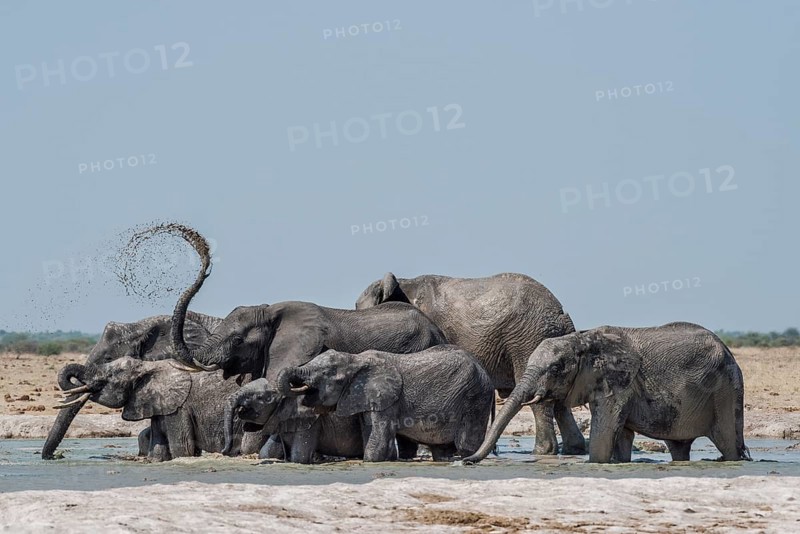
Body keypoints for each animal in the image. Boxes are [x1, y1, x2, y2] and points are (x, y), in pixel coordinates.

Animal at [55, 356, 248, 461]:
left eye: (108, 377)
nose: (52, 457)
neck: (148, 365)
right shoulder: (160, 406)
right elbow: (158, 452)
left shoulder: (179, 408)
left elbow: (183, 448)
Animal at [278, 345, 495, 462]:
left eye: (327, 374)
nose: (300, 386)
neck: (355, 359)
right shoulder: (366, 397)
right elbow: (370, 431)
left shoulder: (388, 398)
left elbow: (379, 437)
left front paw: (370, 461)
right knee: (441, 449)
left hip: (476, 399)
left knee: (466, 444)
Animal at [355, 272, 586, 455]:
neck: (403, 283)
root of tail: (563, 316)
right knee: (560, 398)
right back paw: (573, 450)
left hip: (529, 338)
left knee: (541, 398)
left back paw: (543, 451)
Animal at [464, 322, 752, 464]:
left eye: (556, 368)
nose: (467, 461)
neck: (582, 339)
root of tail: (729, 353)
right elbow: (621, 434)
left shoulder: (619, 381)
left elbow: (606, 428)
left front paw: (596, 464)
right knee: (679, 446)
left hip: (725, 391)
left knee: (728, 443)